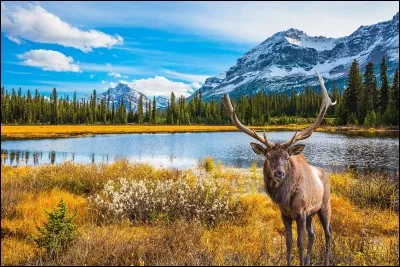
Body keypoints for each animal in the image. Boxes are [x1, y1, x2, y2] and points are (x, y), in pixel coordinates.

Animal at [223, 72, 336, 266]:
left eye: (287, 157)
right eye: (268, 157)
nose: (279, 173)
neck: (286, 198)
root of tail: (325, 174)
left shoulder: (301, 212)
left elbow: (299, 243)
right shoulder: (285, 214)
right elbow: (289, 242)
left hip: (324, 205)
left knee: (328, 233)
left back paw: (327, 261)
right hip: (312, 213)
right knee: (313, 234)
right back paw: (309, 260)